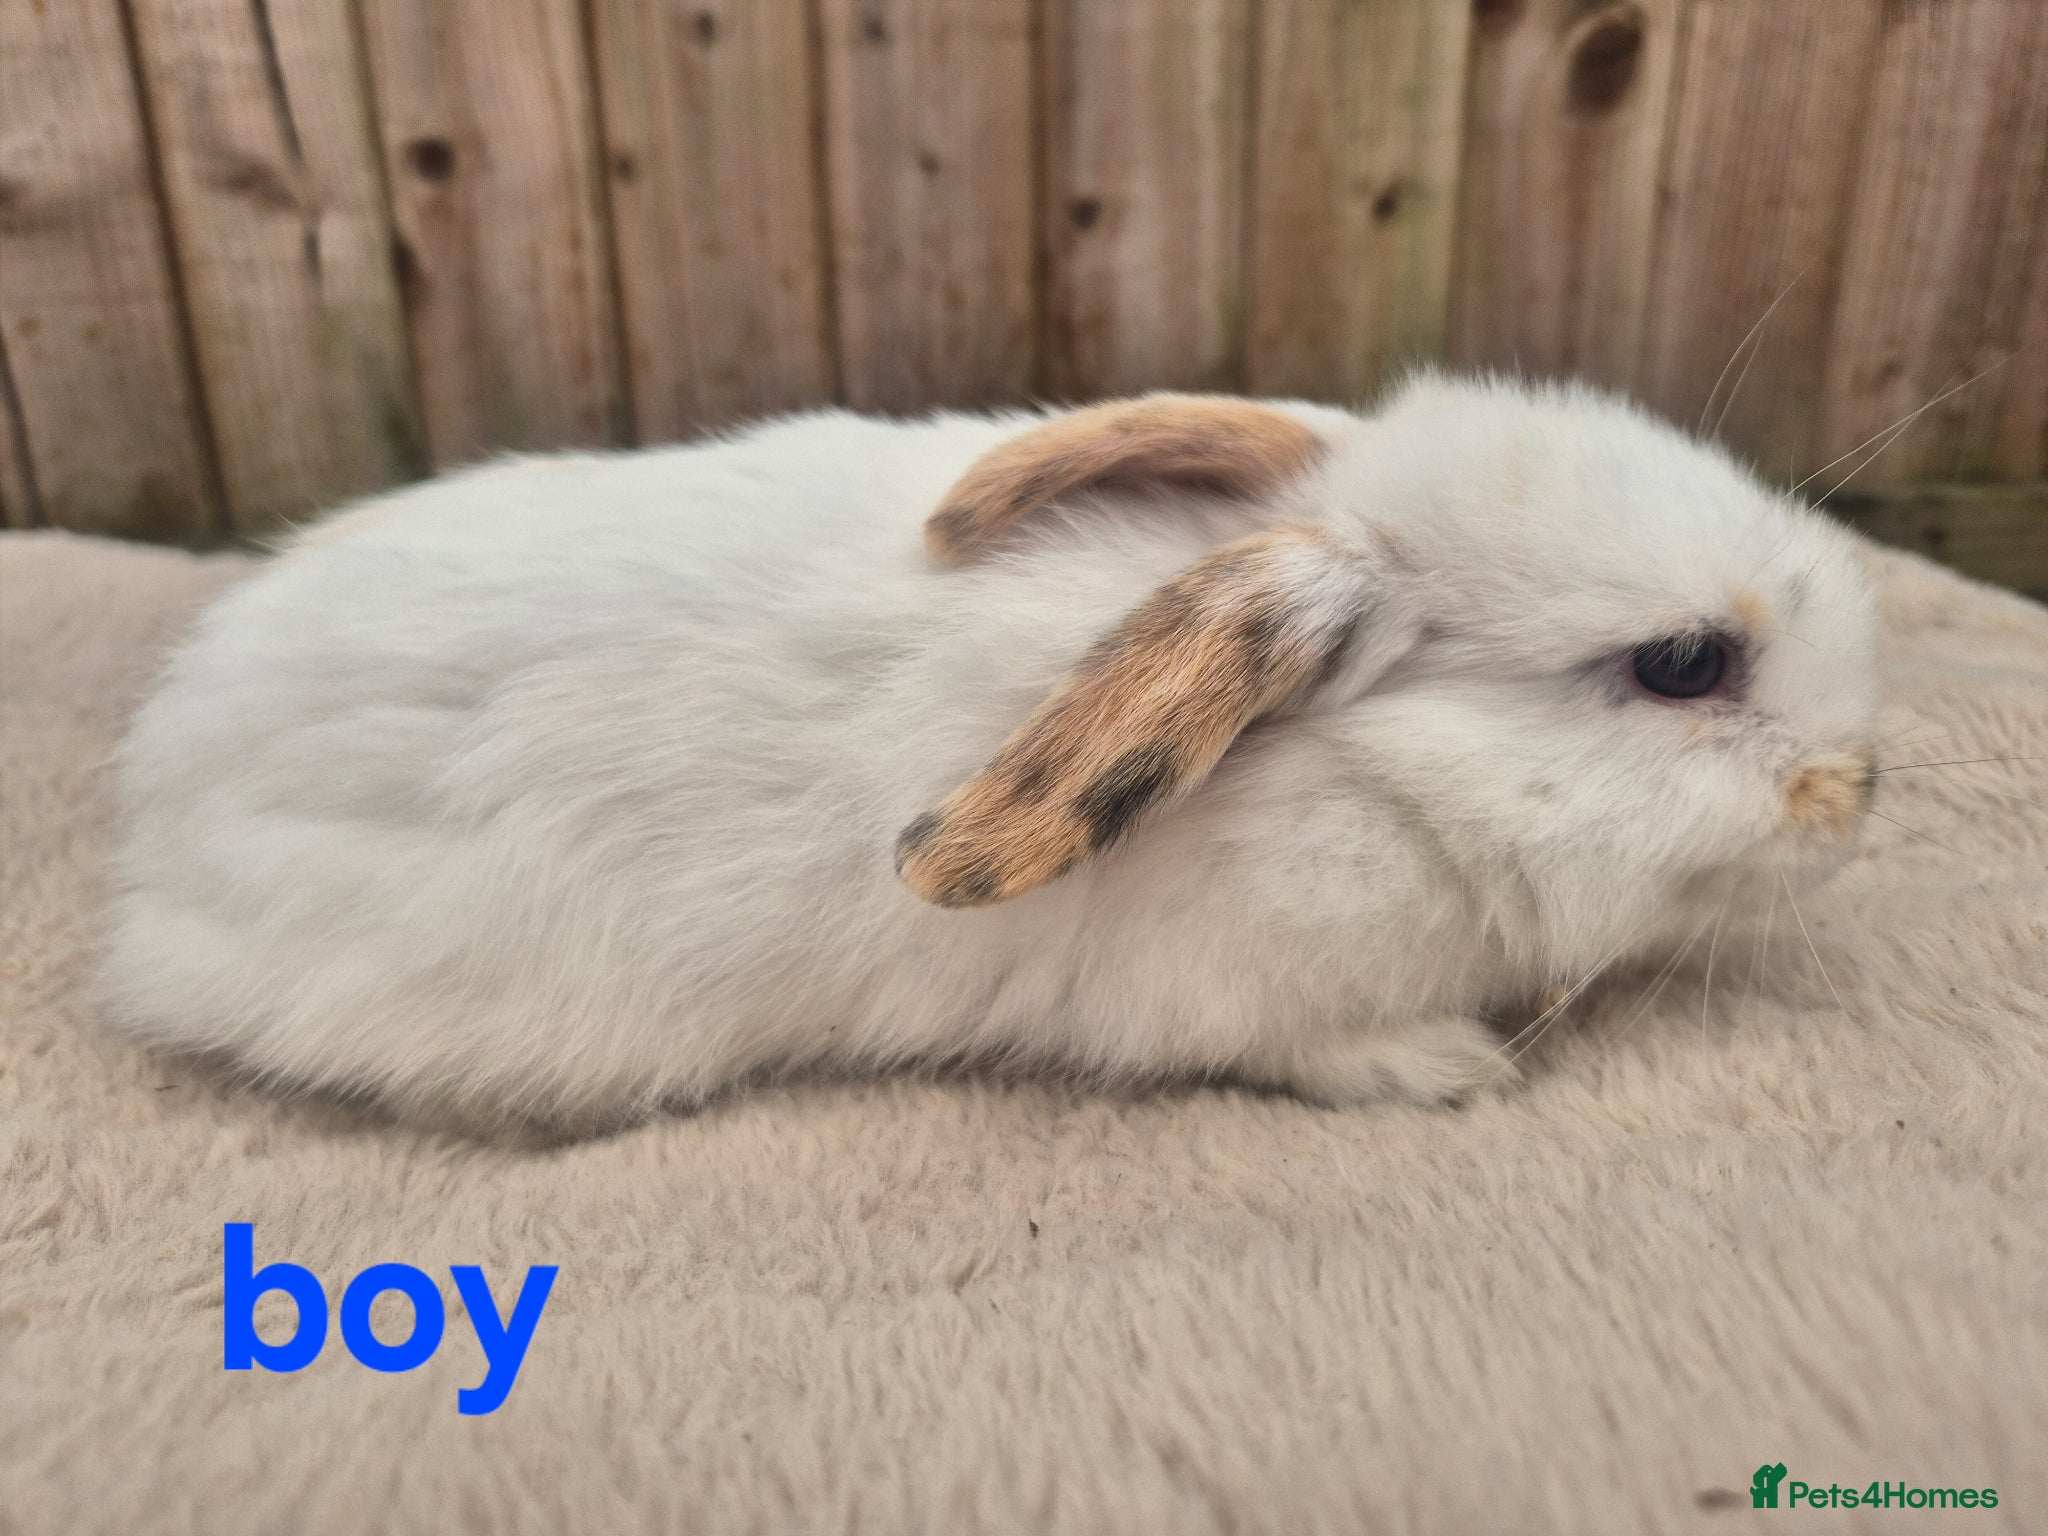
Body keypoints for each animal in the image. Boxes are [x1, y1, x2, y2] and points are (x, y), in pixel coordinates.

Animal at [99, 375, 1881, 1136]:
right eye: (1682, 664)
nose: (1863, 791)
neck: (1385, 772)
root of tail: (158, 823)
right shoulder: (1241, 987)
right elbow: (1321, 1048)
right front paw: (1449, 1070)